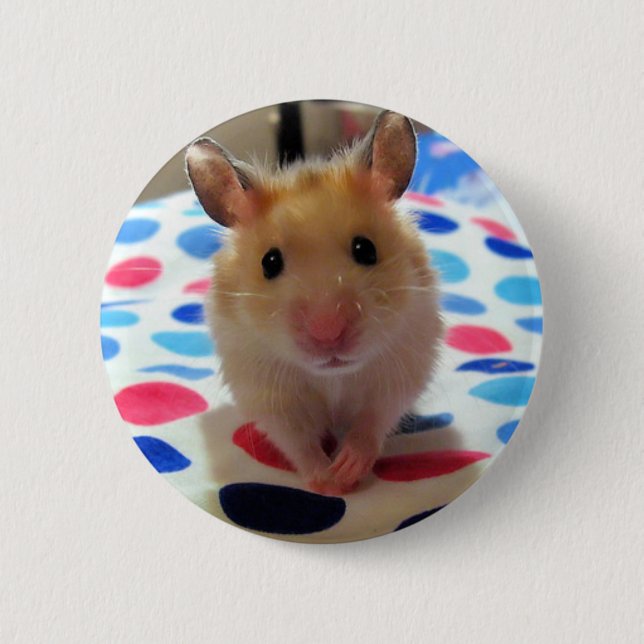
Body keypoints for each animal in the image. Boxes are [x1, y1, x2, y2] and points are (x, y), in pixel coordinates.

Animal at [186, 111, 443, 496]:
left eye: (366, 249)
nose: (328, 334)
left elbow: (371, 424)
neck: (332, 376)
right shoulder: (268, 396)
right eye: (269, 262)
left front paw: (347, 472)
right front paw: (328, 482)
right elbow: (298, 442)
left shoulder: (398, 373)